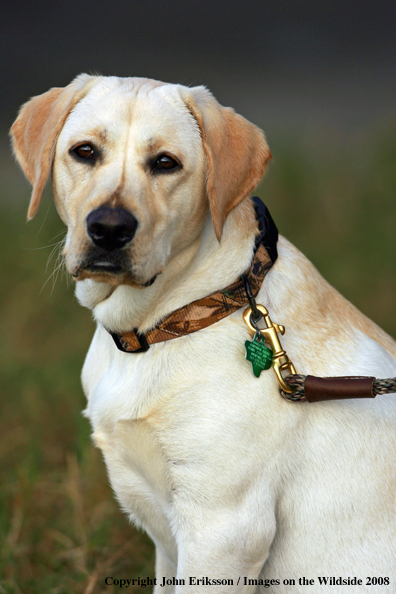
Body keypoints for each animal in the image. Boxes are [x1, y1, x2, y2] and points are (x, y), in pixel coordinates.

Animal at [11, 76, 396, 588]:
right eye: (85, 151)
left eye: (165, 163)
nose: (108, 227)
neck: (181, 314)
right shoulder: (171, 539)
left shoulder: (225, 530)